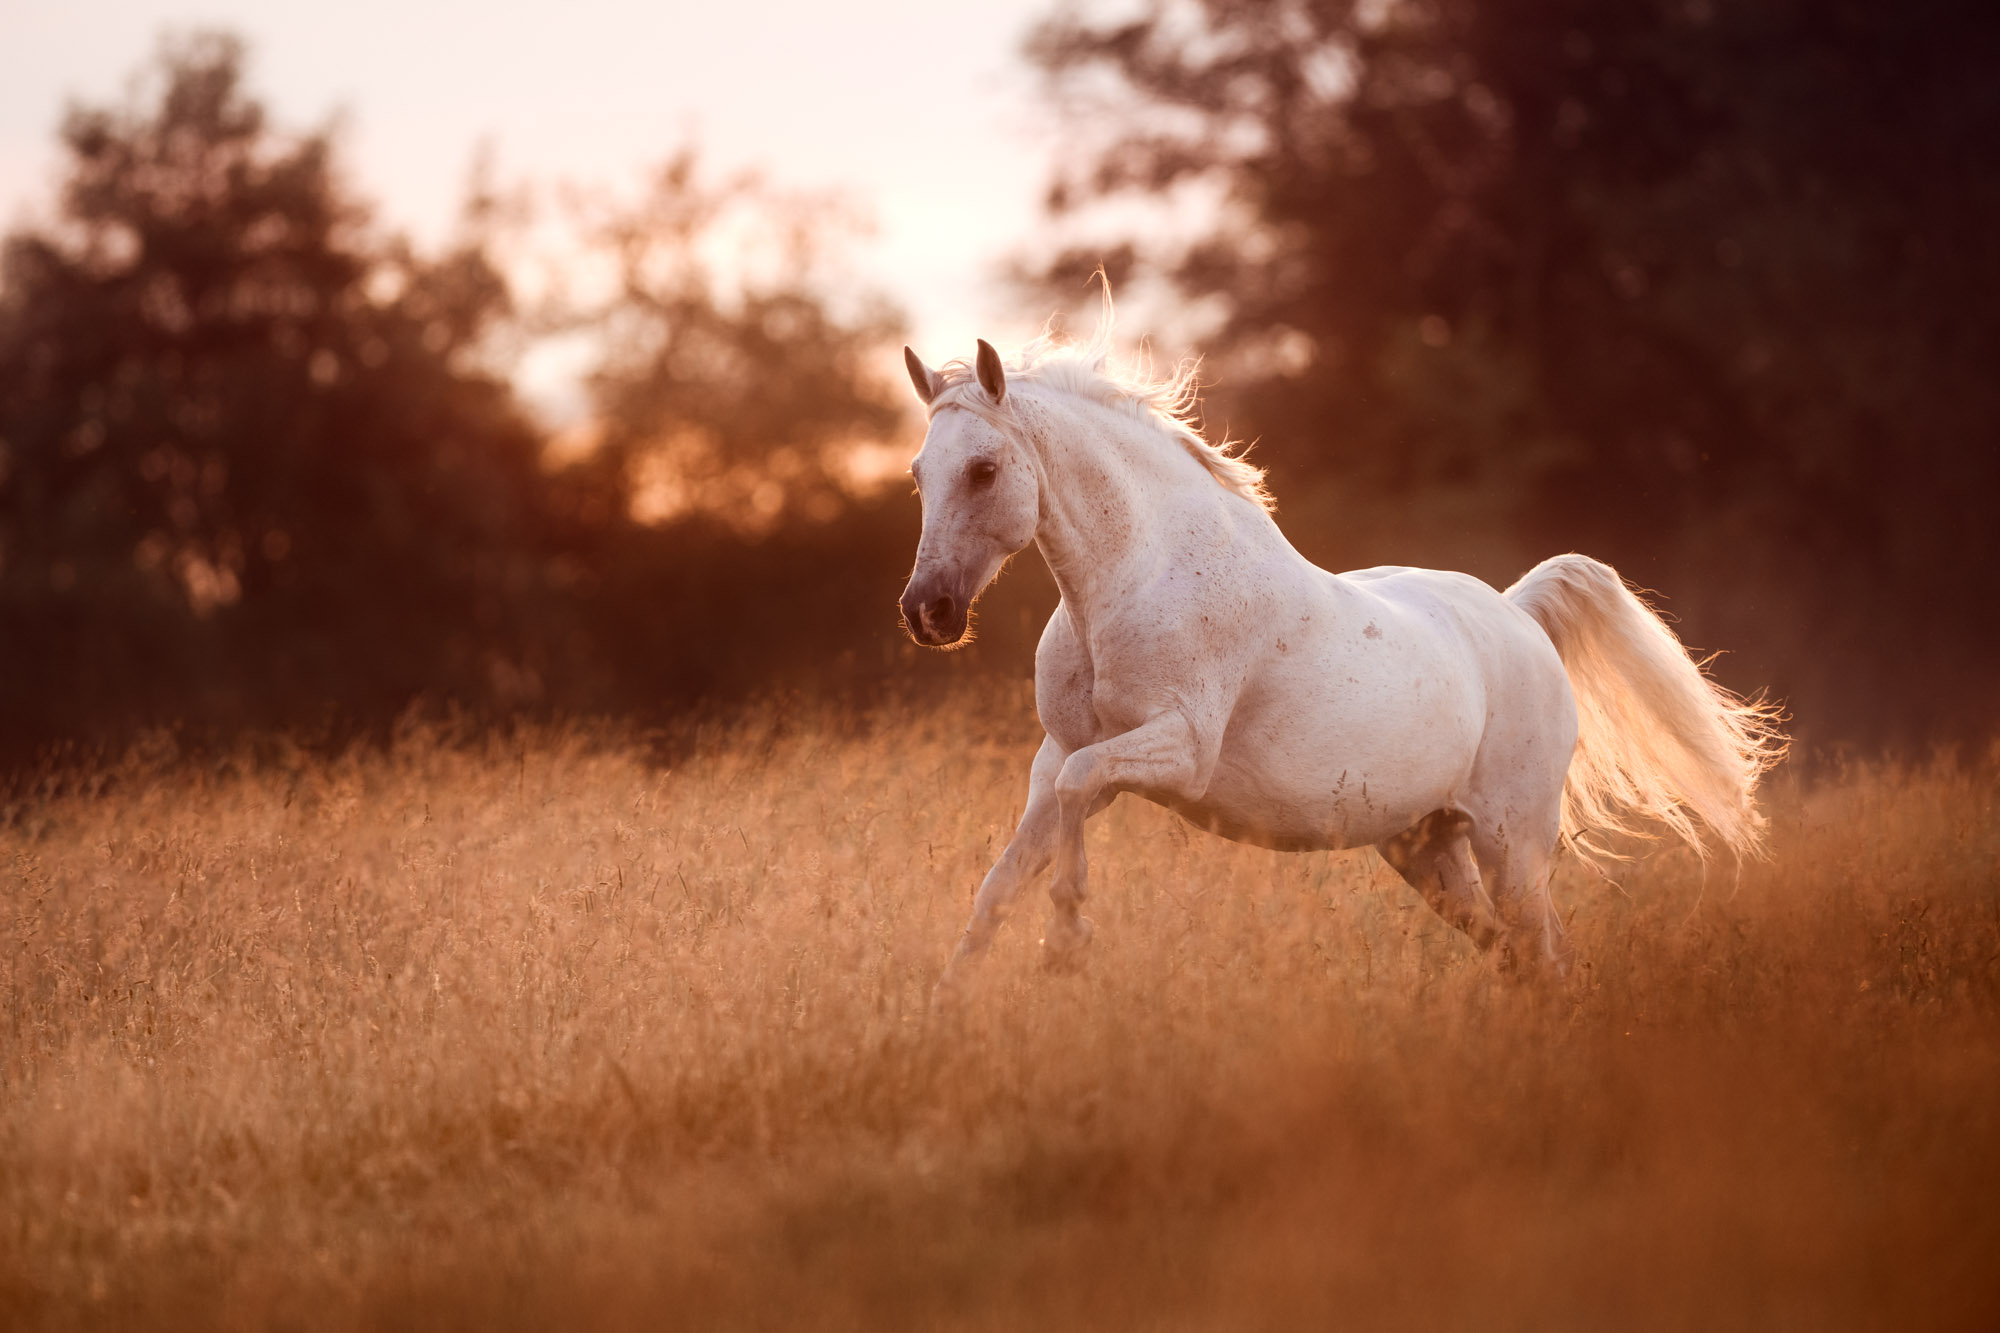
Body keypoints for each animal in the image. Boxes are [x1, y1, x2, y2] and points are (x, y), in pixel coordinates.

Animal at [900, 326, 1792, 980]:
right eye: (917, 473)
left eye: (983, 469)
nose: (926, 612)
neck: (1137, 579)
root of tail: (1516, 611)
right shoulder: (1055, 754)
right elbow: (999, 885)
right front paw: (954, 998)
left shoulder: (1175, 750)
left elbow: (1079, 798)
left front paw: (1067, 939)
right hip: (1426, 849)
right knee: (1516, 956)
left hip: (1515, 841)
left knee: (1545, 953)